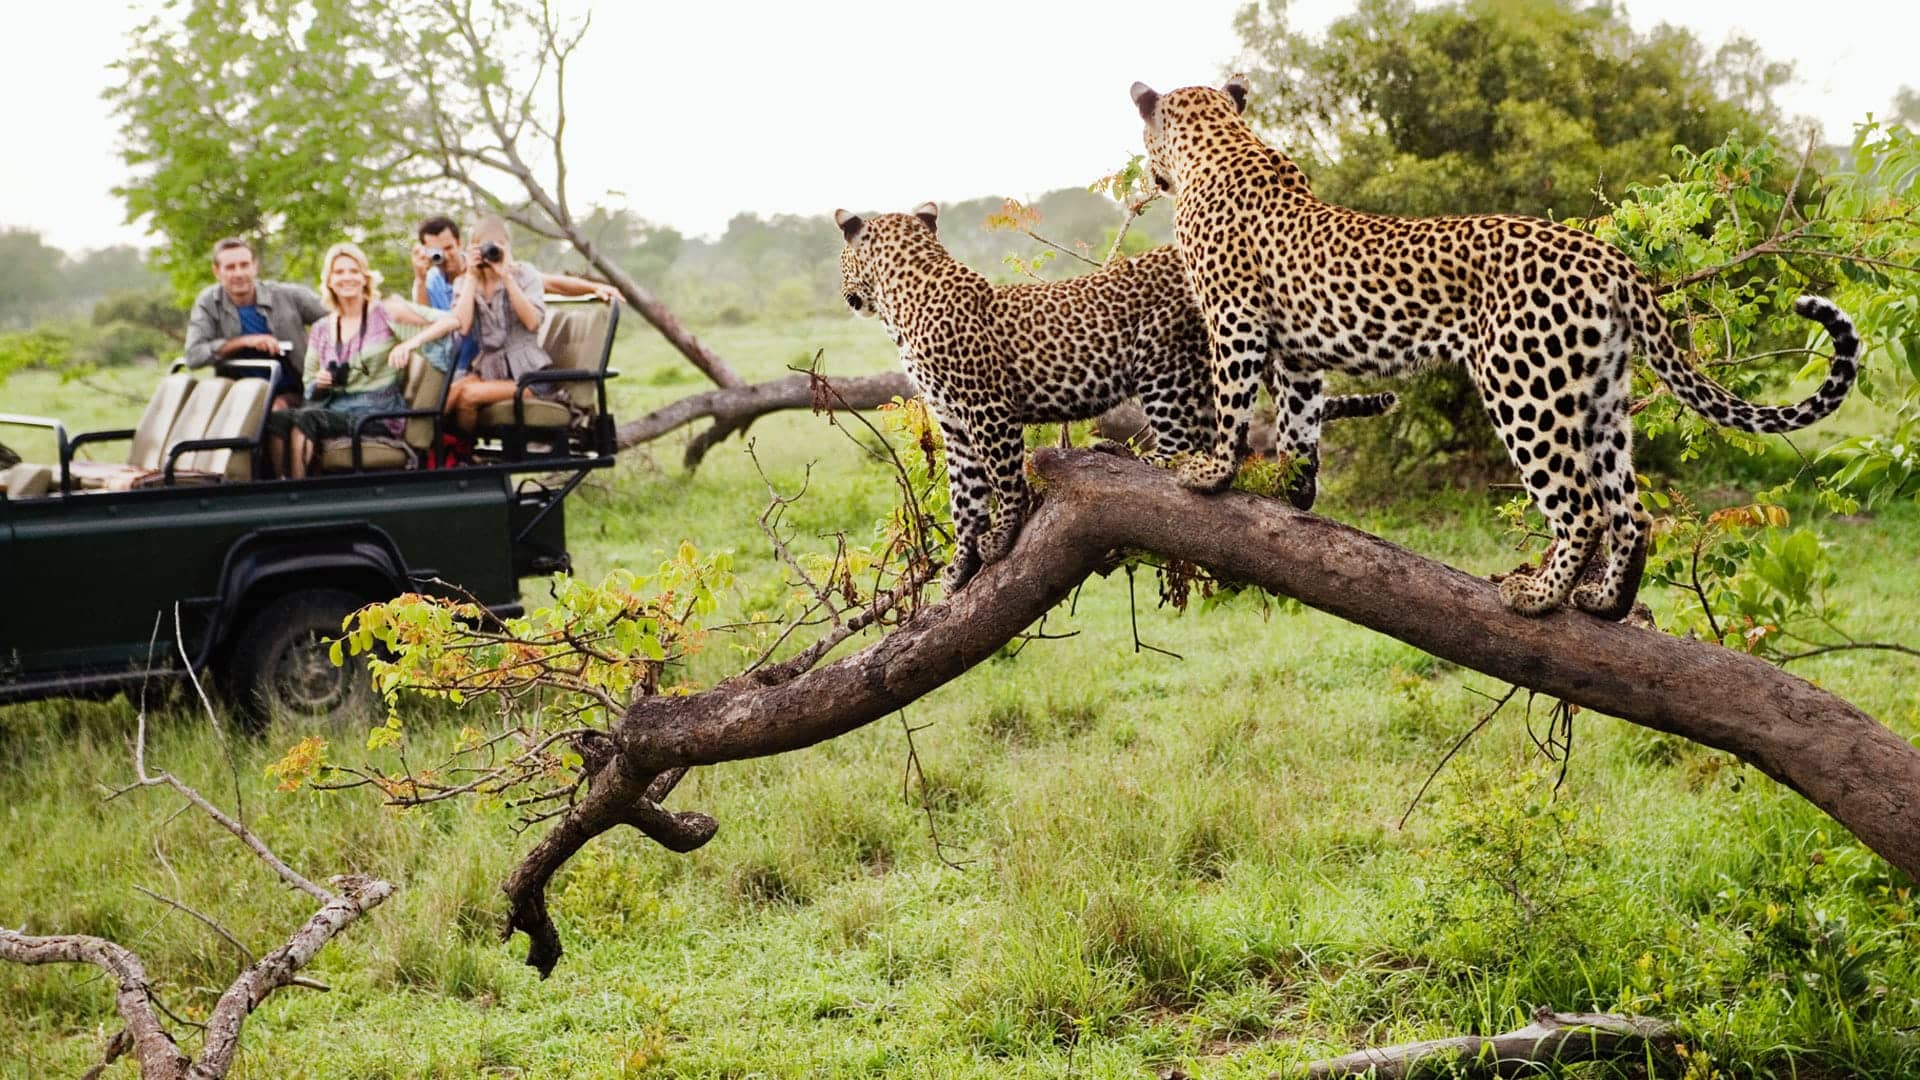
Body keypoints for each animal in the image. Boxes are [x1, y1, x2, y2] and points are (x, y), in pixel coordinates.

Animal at [833, 201, 1390, 588]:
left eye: (840, 260)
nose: (845, 295)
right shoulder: (953, 421)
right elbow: (964, 497)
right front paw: (959, 566)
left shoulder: (987, 408)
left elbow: (1005, 479)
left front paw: (1004, 534)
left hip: (1162, 360)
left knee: (1183, 444)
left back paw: (1131, 455)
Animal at [1121, 73, 1858, 614]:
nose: (1151, 178)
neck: (1222, 143)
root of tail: (1611, 259)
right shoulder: (1300, 353)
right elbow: (1300, 423)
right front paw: (1292, 492)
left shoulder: (1234, 320)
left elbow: (1231, 403)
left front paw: (1212, 473)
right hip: (1601, 396)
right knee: (1630, 510)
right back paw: (1605, 603)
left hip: (1524, 386)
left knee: (1582, 506)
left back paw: (1538, 596)